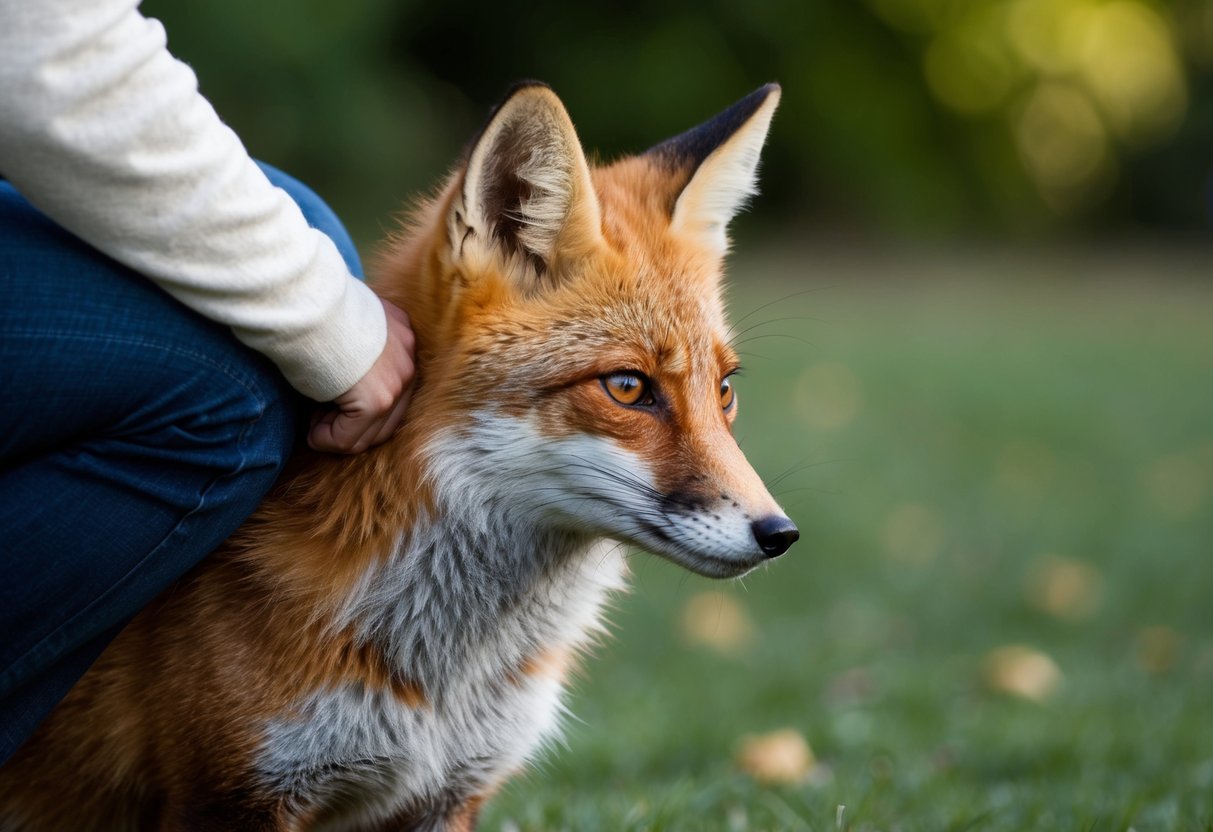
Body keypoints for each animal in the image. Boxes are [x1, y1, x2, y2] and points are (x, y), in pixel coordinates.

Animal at [0, 81, 797, 830]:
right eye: (628, 387)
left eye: (723, 390)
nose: (779, 534)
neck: (444, 679)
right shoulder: (230, 795)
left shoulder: (447, 792)